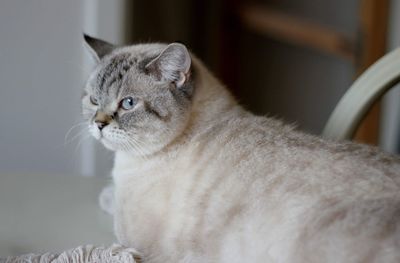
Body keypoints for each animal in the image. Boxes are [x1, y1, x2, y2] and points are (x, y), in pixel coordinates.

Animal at [81, 34, 400, 262]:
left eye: (128, 103)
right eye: (94, 100)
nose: (98, 124)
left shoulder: (133, 239)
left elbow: (110, 201)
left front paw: (105, 194)